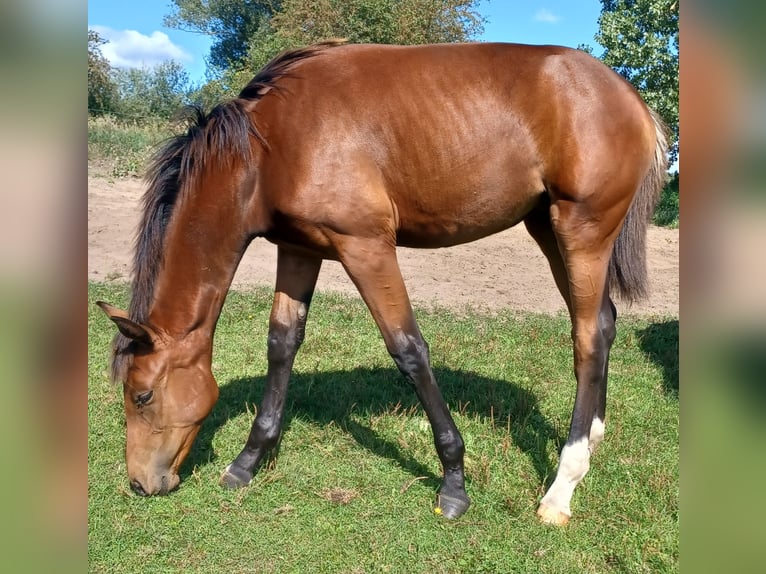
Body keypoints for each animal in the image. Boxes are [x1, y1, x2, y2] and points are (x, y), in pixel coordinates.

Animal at [99, 41, 668, 528]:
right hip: (547, 228)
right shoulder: (299, 249)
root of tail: (634, 100)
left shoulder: (366, 246)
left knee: (587, 339)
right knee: (603, 322)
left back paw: (562, 487)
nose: (141, 483)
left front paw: (454, 484)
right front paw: (248, 460)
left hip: (582, 231)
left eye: (142, 395)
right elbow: (282, 343)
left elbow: (408, 350)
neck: (267, 149)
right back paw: (592, 440)